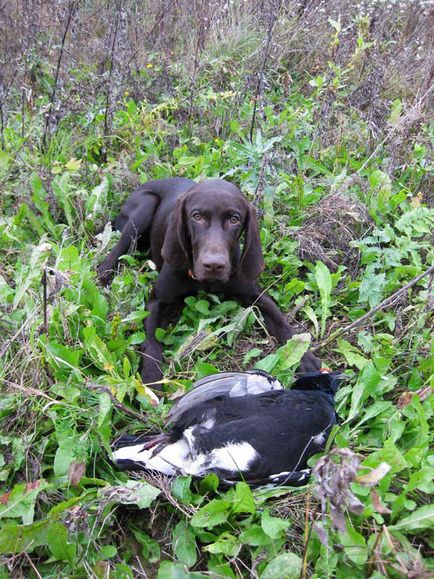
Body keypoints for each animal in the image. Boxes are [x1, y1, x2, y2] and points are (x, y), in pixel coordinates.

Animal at [99, 177, 322, 386]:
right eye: (196, 216)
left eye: (234, 219)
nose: (214, 265)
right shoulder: (156, 302)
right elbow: (152, 342)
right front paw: (151, 379)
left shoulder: (256, 295)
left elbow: (283, 323)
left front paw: (306, 357)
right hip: (144, 206)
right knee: (116, 250)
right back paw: (105, 274)